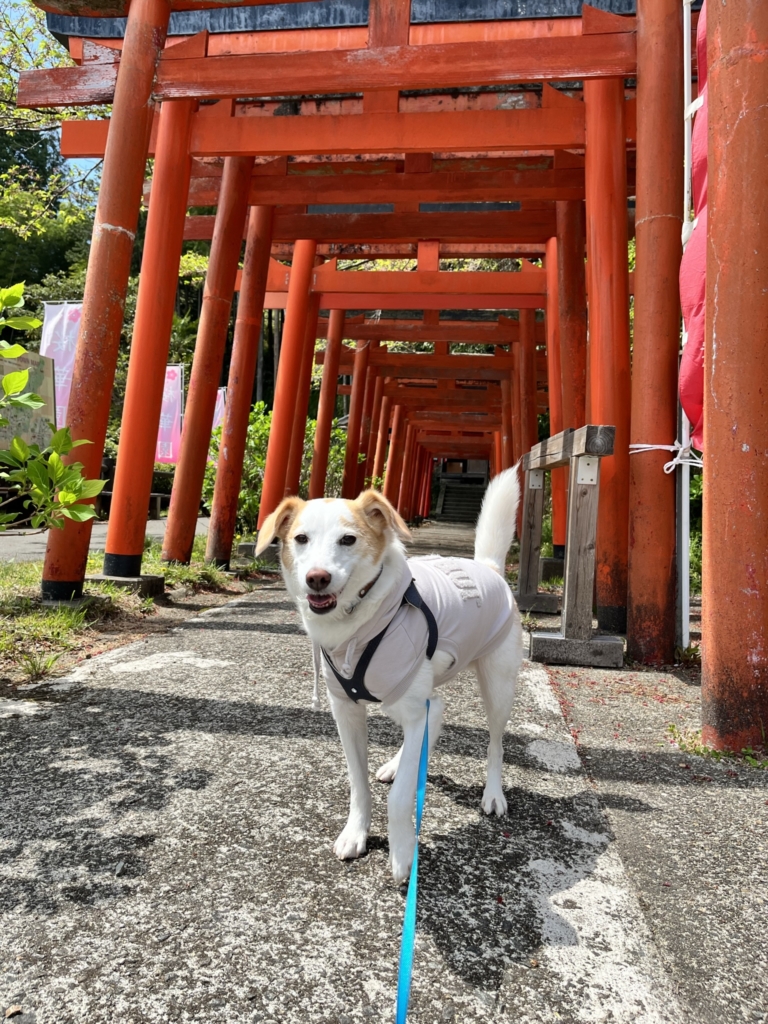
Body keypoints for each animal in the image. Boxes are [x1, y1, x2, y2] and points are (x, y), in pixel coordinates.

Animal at [257, 468, 524, 884]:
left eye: (348, 539)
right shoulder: (347, 712)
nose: (317, 578)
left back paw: (492, 794)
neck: (358, 621)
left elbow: (400, 798)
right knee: (437, 711)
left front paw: (402, 852)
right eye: (300, 539)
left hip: (498, 685)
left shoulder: (411, 710)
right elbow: (358, 781)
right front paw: (356, 832)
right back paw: (402, 763)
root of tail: (490, 568)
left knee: (493, 742)